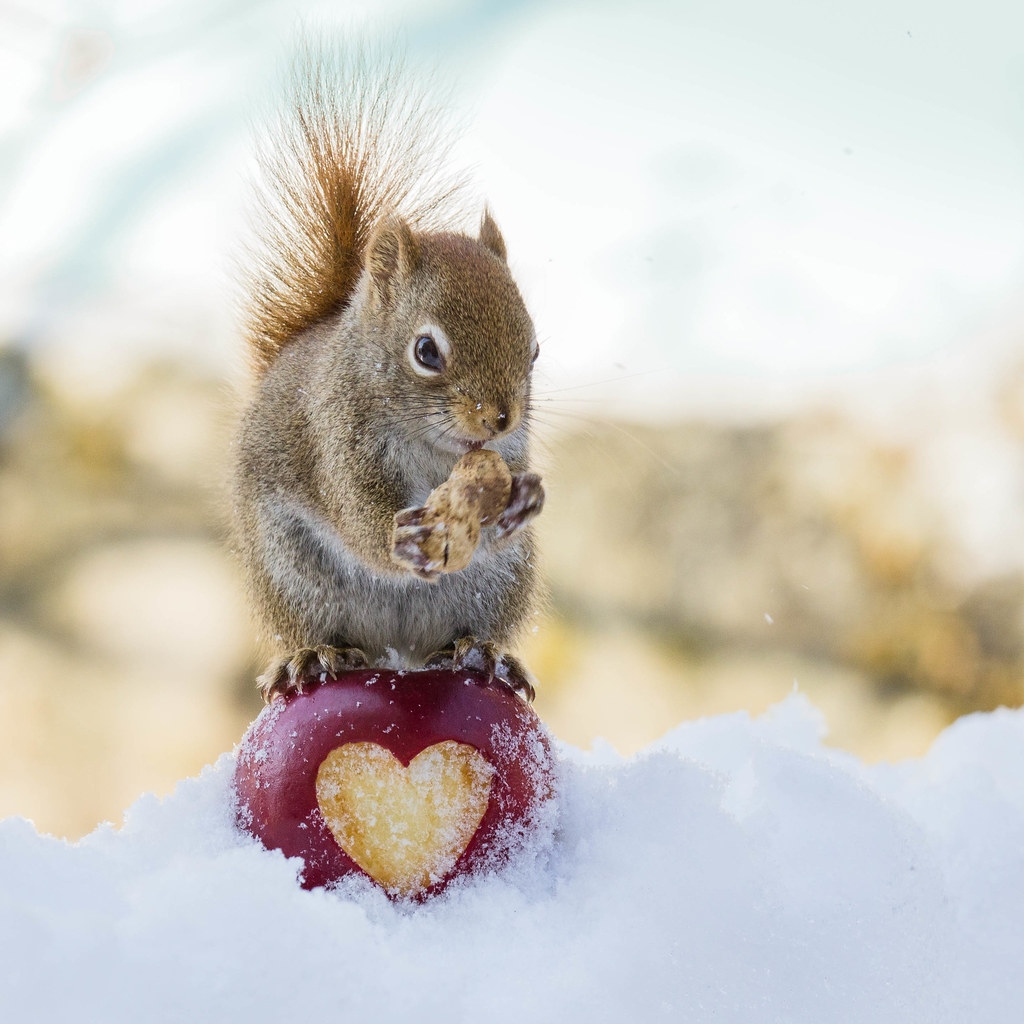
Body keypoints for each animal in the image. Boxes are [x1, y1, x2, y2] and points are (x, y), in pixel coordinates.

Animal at [231, 48, 544, 704]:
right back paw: (312, 657)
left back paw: (483, 652)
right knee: (315, 625)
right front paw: (397, 539)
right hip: (290, 572)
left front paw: (523, 499)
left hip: (500, 584)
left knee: (470, 630)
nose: (499, 418)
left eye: (534, 349)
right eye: (426, 351)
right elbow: (356, 514)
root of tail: (398, 652)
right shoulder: (335, 438)